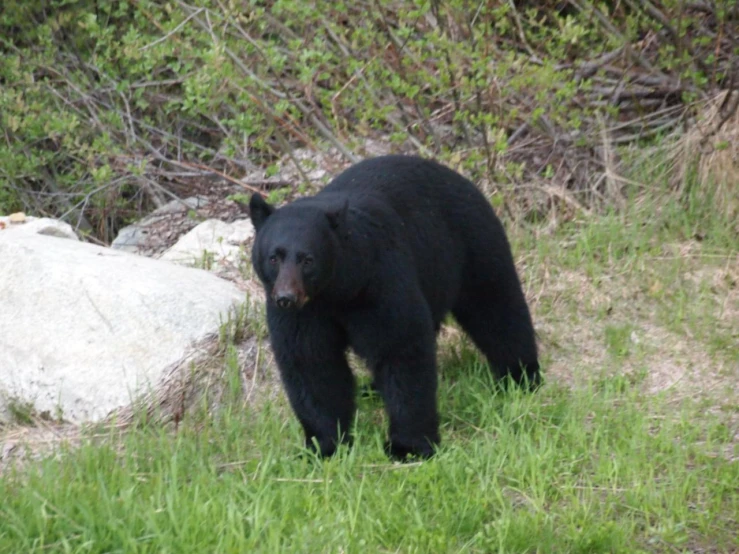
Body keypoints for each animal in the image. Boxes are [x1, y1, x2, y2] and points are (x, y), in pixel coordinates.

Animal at [247, 154, 536, 458]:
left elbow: (400, 347)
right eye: (274, 257)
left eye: (307, 259)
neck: (339, 290)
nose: (286, 297)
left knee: (496, 307)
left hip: (471, 242)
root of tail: (459, 177)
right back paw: (371, 388)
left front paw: (408, 446)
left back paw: (521, 376)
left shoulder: (380, 280)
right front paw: (324, 445)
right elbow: (311, 363)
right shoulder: (304, 315)